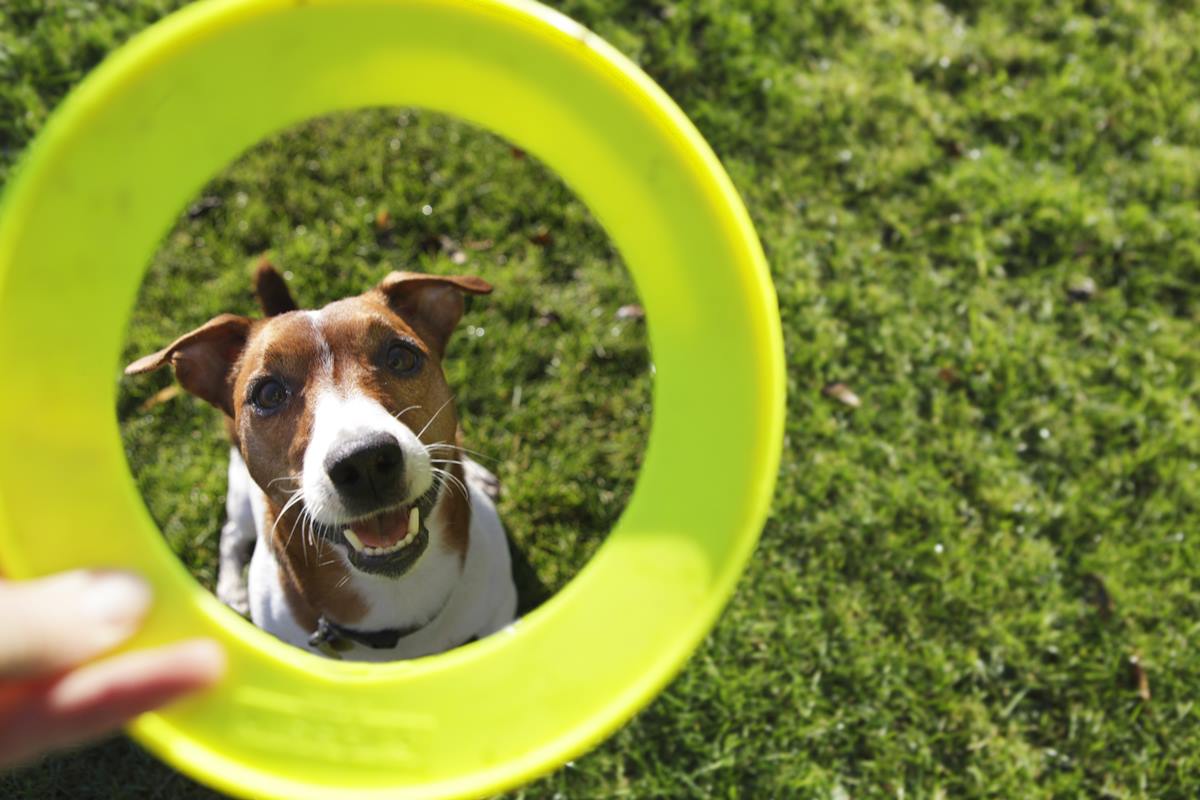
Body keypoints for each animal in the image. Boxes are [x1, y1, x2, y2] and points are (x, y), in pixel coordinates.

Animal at [126, 266, 516, 662]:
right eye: (268, 394)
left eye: (401, 358)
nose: (364, 461)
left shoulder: (501, 608)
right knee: (231, 534)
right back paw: (232, 590)